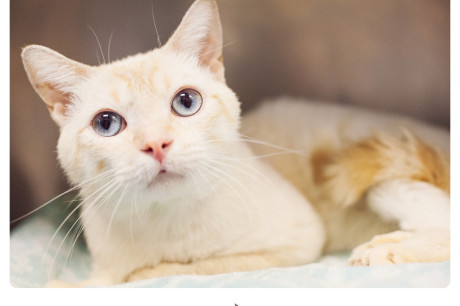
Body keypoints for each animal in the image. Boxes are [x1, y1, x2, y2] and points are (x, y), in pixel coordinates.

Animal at [21, 0, 450, 286]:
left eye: (186, 102)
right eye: (107, 124)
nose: (157, 144)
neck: (167, 223)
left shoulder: (295, 244)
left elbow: (170, 271)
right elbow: (107, 278)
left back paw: (383, 249)